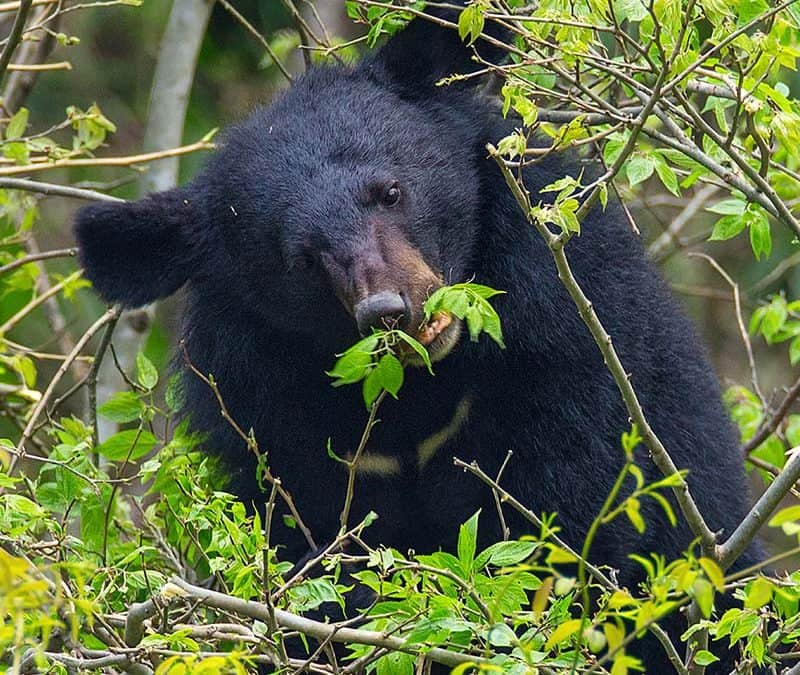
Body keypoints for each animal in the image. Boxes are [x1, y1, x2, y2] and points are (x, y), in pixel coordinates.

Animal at [74, 11, 760, 673]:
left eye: (391, 192)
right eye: (302, 257)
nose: (389, 309)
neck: (421, 396)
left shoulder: (568, 339)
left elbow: (575, 507)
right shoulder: (278, 430)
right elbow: (320, 558)